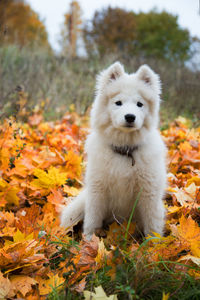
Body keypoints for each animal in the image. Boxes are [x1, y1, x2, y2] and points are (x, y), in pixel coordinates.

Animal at [60, 62, 166, 240]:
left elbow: (152, 225)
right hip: (77, 207)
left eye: (139, 104)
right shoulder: (97, 190)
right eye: (118, 103)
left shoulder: (149, 192)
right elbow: (92, 220)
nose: (130, 117)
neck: (124, 150)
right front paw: (89, 241)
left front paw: (153, 245)